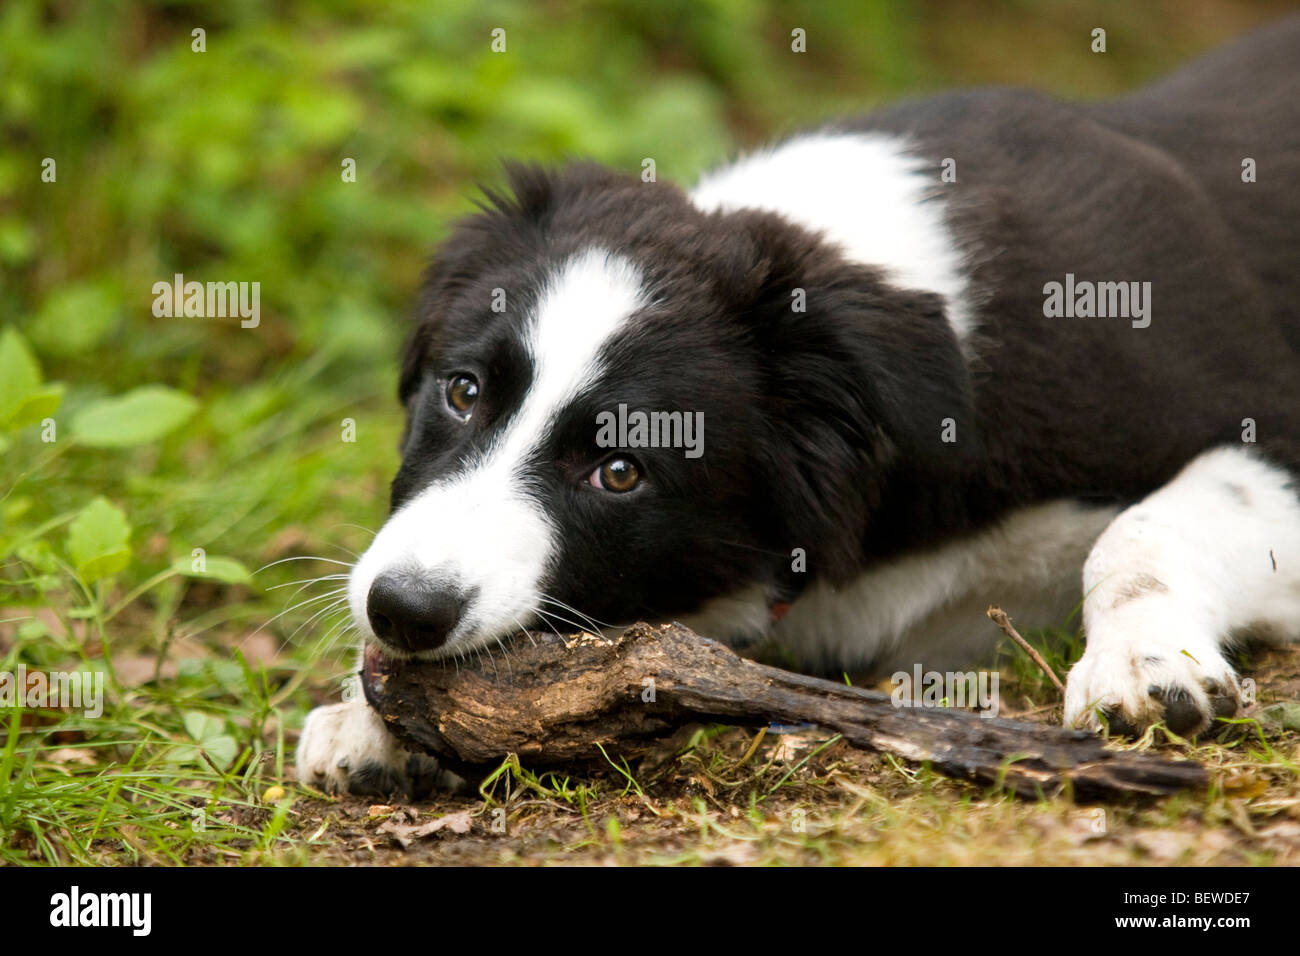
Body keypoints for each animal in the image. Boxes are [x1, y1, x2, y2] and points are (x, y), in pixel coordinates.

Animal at [299, 18, 1300, 796]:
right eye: (463, 392)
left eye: (620, 471)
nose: (403, 611)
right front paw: (366, 714)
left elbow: (1143, 527)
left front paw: (1144, 661)